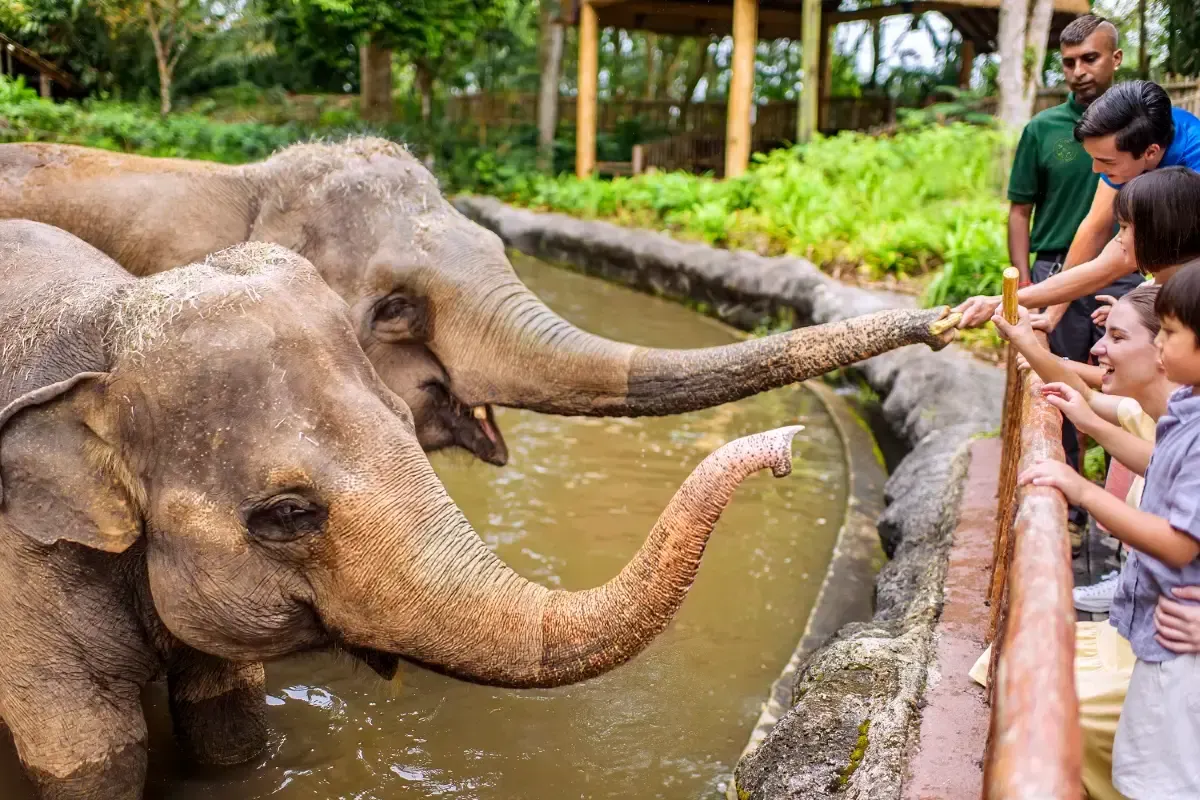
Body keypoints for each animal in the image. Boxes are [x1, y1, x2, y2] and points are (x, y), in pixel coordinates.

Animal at [2, 220, 806, 800]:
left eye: (401, 415)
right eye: (287, 513)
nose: (785, 446)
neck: (104, 331)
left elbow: (229, 727)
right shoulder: (25, 581)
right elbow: (91, 756)